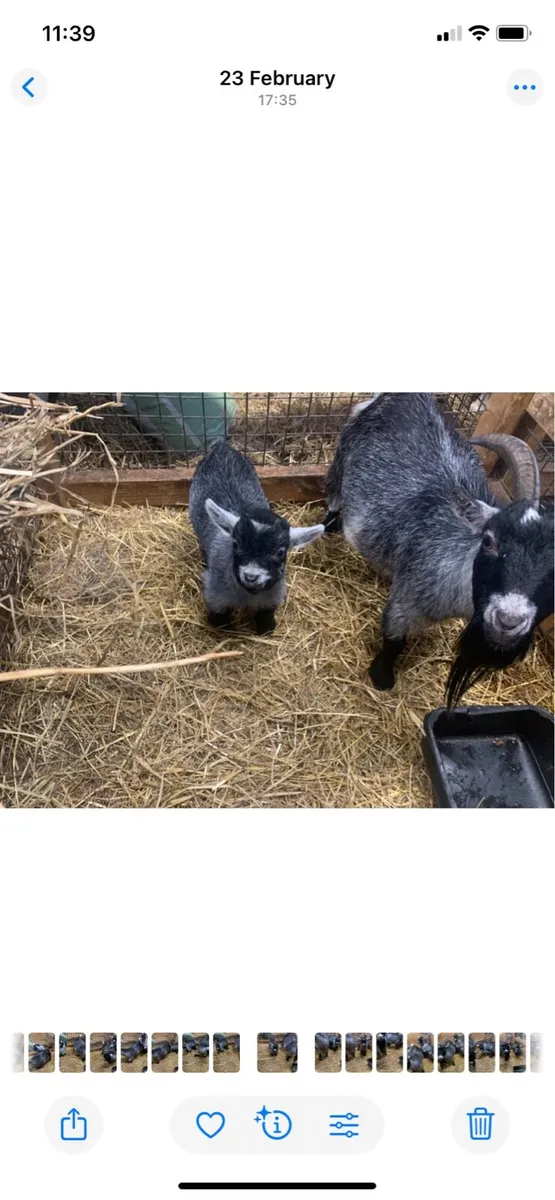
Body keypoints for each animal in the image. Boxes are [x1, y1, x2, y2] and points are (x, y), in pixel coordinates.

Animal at [190, 441, 324, 635]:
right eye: (235, 544)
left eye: (280, 552)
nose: (251, 576)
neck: (248, 596)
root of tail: (222, 446)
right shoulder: (215, 595)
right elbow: (221, 619)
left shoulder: (272, 596)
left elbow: (265, 617)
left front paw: (266, 630)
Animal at [326, 393, 554, 704]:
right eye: (488, 540)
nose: (508, 620)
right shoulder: (410, 596)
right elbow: (394, 639)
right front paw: (381, 677)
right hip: (341, 457)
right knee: (333, 497)